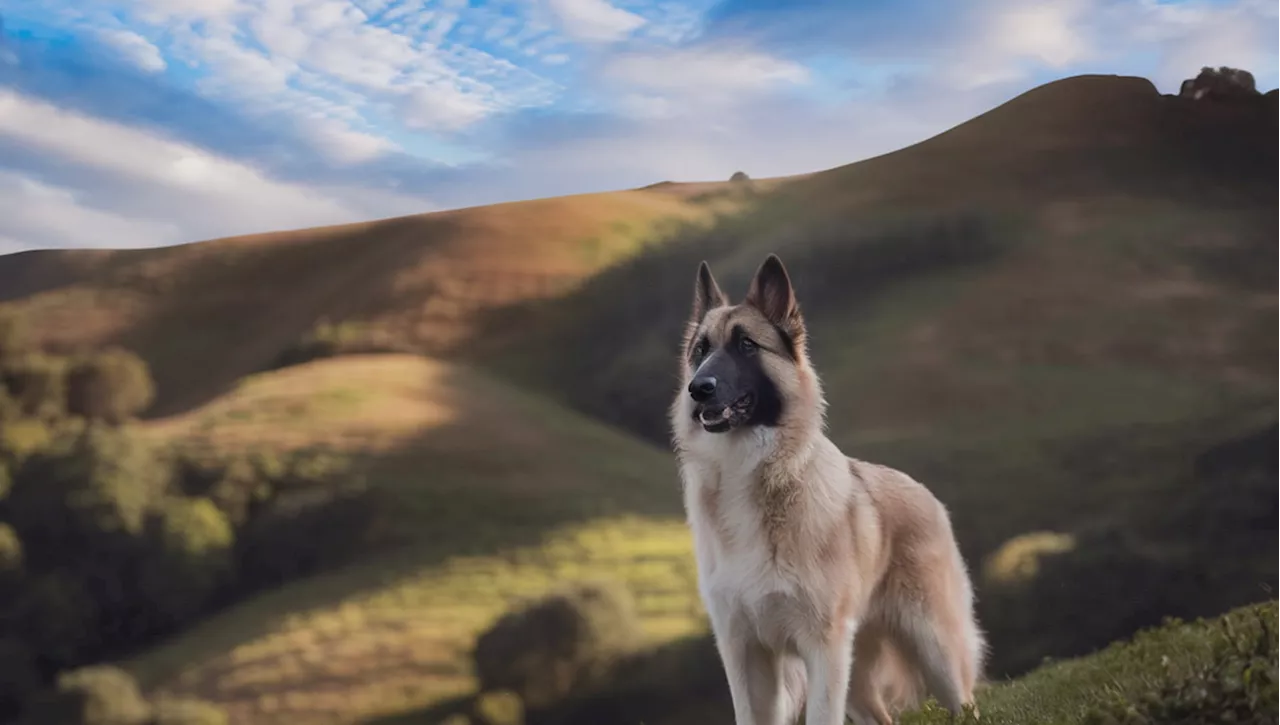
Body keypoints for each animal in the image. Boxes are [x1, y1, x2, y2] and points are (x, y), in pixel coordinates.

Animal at [670, 256, 988, 725]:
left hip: (933, 649)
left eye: (746, 345)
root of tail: (921, 489)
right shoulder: (744, 652)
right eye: (700, 350)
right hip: (855, 672)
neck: (749, 471)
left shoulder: (822, 645)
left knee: (964, 703)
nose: (698, 389)